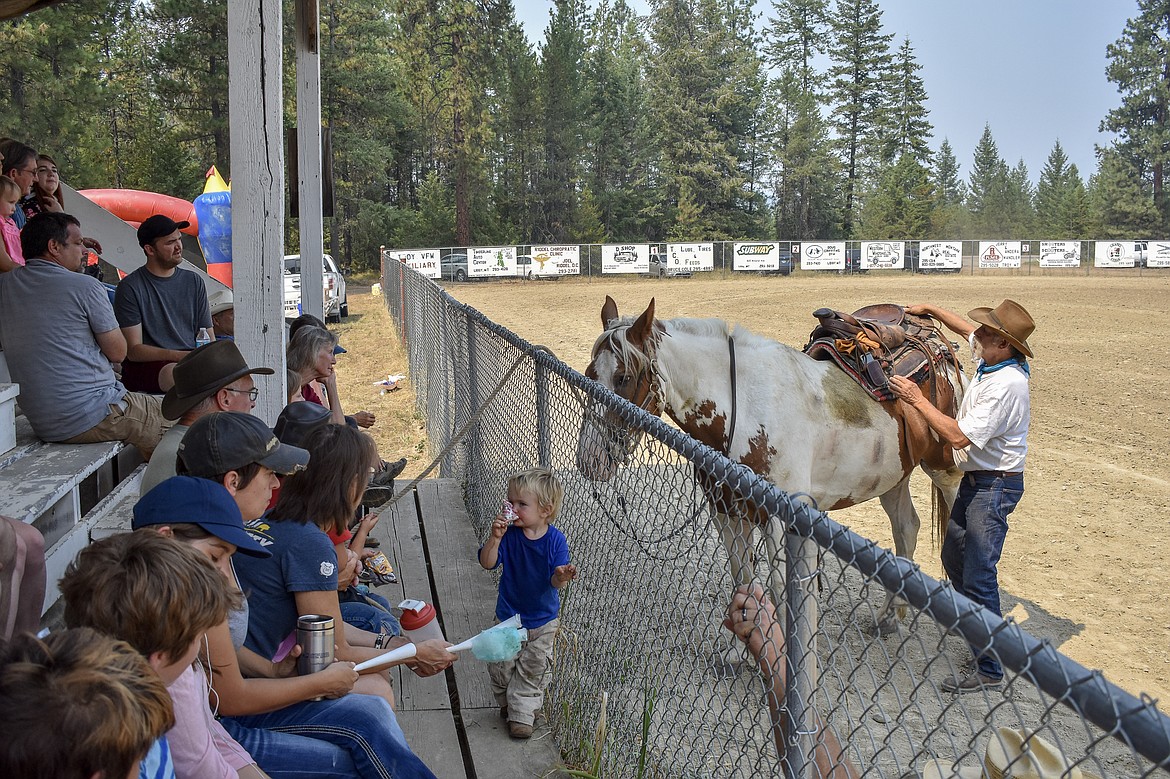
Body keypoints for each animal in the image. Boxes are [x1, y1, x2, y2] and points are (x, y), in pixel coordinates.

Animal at [570, 294, 964, 636]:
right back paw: (889, 616)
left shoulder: (780, 518)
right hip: (894, 475)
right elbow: (742, 577)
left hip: (943, 467)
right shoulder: (726, 510)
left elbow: (777, 587)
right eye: (589, 373)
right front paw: (737, 651)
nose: (589, 460)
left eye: (623, 377)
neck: (743, 406)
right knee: (906, 529)